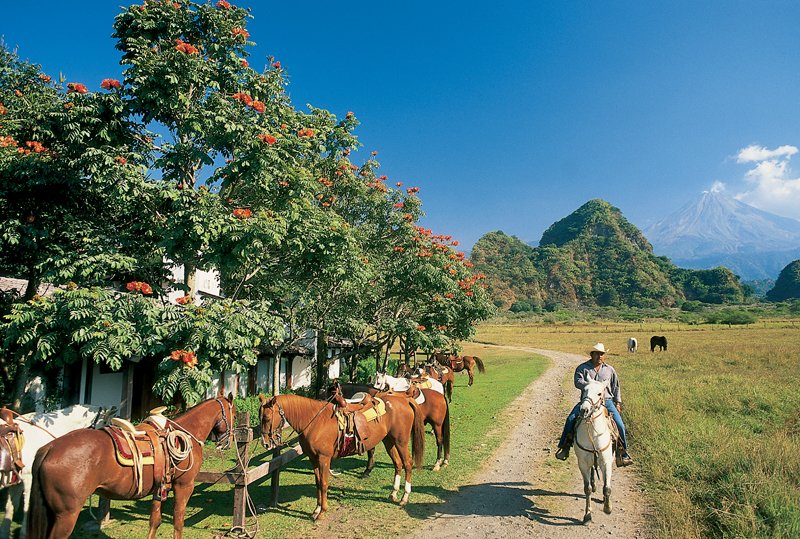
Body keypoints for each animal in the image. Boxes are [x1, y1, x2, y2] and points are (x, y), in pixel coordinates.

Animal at [27, 392, 234, 539]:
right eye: (233, 413)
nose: (227, 441)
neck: (187, 433)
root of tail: (49, 448)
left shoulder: (160, 488)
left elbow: (155, 521)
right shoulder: (184, 486)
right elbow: (178, 522)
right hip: (66, 515)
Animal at [260, 390, 424, 520]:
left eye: (267, 418)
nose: (265, 443)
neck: (315, 421)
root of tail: (404, 399)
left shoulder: (324, 459)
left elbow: (324, 484)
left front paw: (322, 512)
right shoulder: (313, 459)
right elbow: (318, 483)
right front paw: (316, 510)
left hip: (401, 441)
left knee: (408, 463)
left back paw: (404, 497)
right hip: (389, 441)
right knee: (398, 464)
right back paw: (393, 494)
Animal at [572, 380, 616, 524]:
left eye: (599, 393)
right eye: (584, 390)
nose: (584, 410)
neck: (592, 433)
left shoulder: (606, 462)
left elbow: (607, 487)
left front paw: (608, 508)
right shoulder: (583, 464)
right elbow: (587, 489)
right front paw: (587, 514)